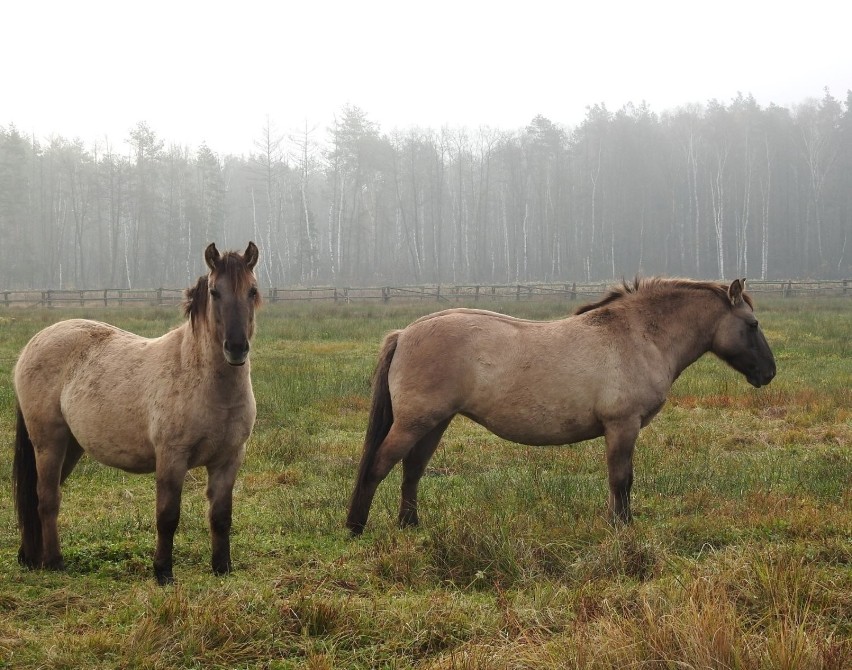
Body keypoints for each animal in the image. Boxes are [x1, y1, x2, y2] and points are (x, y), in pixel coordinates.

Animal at [12, 240, 260, 584]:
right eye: (215, 292)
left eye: (252, 291)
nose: (236, 348)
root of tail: (34, 343)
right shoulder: (171, 457)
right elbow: (167, 516)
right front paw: (163, 572)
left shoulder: (229, 459)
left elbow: (221, 517)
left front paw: (222, 568)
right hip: (49, 442)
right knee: (47, 499)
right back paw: (54, 562)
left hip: (71, 446)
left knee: (40, 497)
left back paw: (31, 556)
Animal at [346, 278, 780, 536]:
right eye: (753, 325)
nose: (769, 372)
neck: (638, 335)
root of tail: (405, 333)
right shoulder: (622, 426)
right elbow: (621, 480)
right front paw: (622, 527)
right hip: (415, 423)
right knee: (378, 466)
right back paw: (356, 526)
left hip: (433, 423)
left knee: (412, 471)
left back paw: (410, 526)